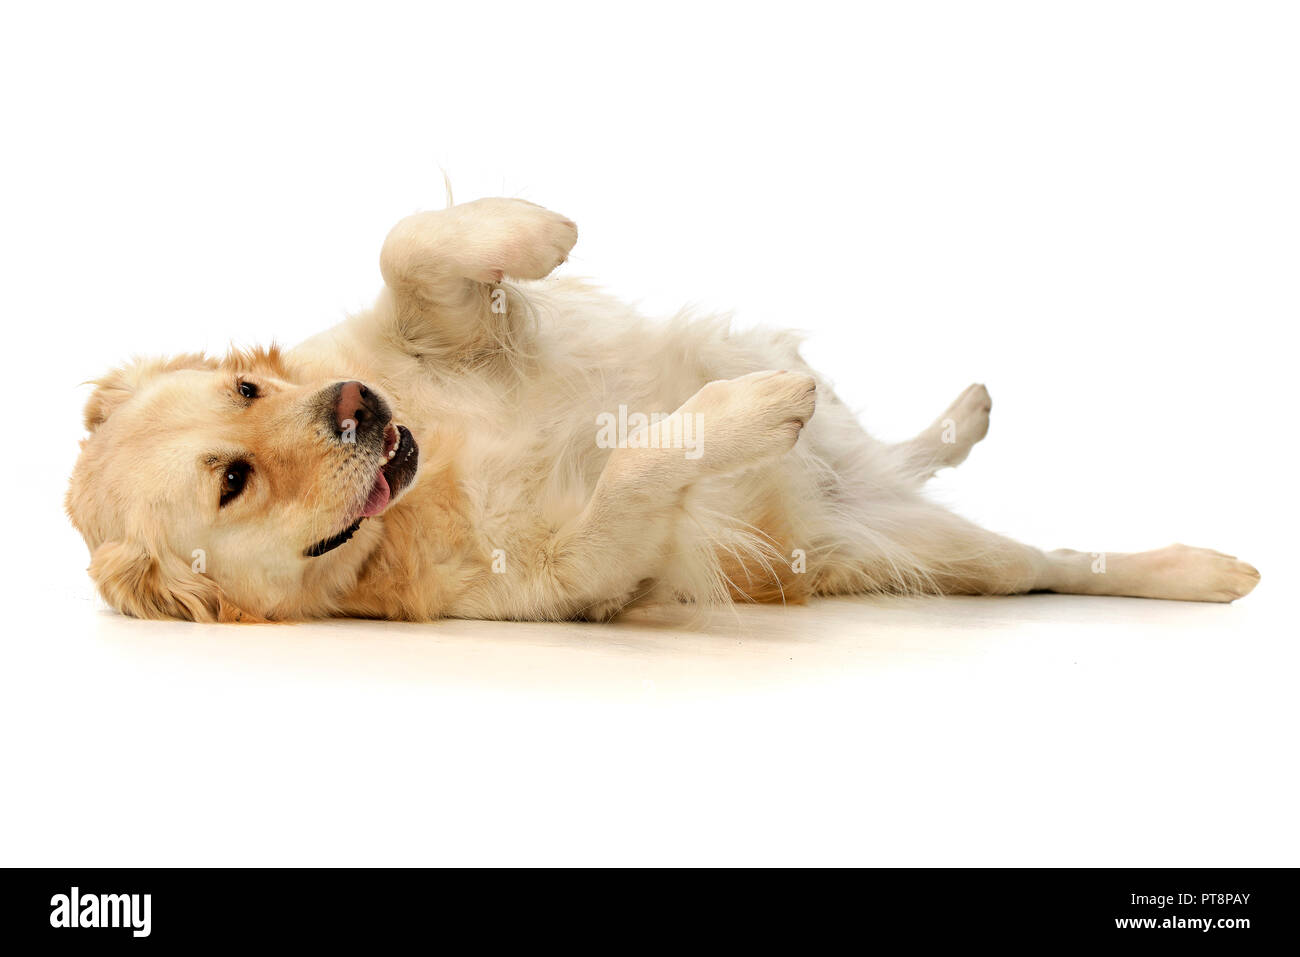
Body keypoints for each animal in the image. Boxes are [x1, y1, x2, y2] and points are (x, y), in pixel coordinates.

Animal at [63, 197, 1258, 624]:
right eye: (233, 480)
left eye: (247, 386)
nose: (358, 412)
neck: (433, 462)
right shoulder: (582, 570)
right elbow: (640, 467)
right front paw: (741, 416)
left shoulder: (431, 338)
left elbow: (411, 246)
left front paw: (535, 228)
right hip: (944, 554)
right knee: (1053, 561)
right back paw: (1204, 571)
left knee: (925, 458)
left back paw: (966, 413)